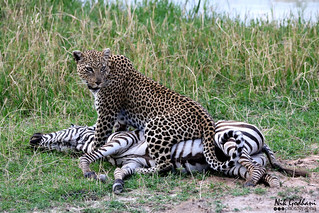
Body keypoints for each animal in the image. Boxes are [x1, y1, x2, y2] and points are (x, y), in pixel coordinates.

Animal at [73, 49, 235, 176]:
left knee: (166, 165)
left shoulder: (106, 115)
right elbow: (117, 132)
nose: (98, 82)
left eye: (102, 68)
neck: (111, 69)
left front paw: (93, 155)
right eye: (89, 69)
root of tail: (206, 118)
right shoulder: (120, 120)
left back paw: (140, 171)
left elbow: (98, 138)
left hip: (154, 125)